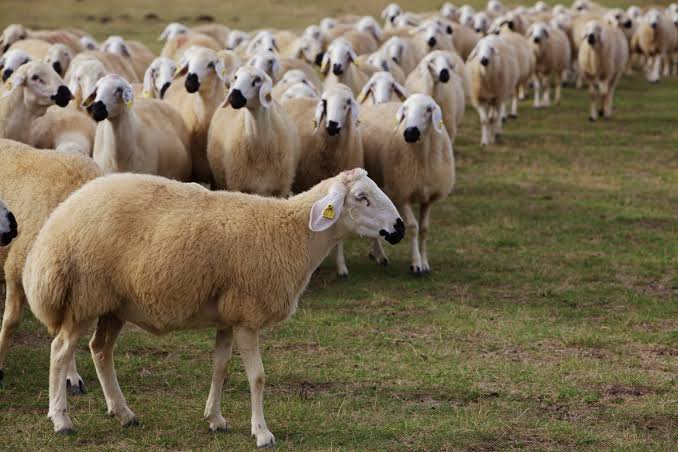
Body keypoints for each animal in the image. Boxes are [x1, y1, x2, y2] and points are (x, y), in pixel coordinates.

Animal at [23, 167, 406, 444]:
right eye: (361, 197)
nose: (400, 227)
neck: (293, 235)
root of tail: (55, 224)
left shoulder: (228, 316)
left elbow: (221, 368)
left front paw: (216, 419)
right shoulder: (248, 314)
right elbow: (257, 377)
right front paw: (262, 433)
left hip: (115, 305)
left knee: (100, 349)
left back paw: (123, 413)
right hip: (83, 295)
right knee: (60, 350)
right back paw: (61, 420)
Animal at [362, 93, 456, 274]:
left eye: (429, 109)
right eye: (405, 110)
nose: (410, 132)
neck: (423, 160)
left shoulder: (429, 198)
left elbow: (424, 229)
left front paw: (425, 263)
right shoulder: (401, 194)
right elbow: (413, 227)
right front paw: (416, 264)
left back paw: (375, 254)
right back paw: (380, 255)